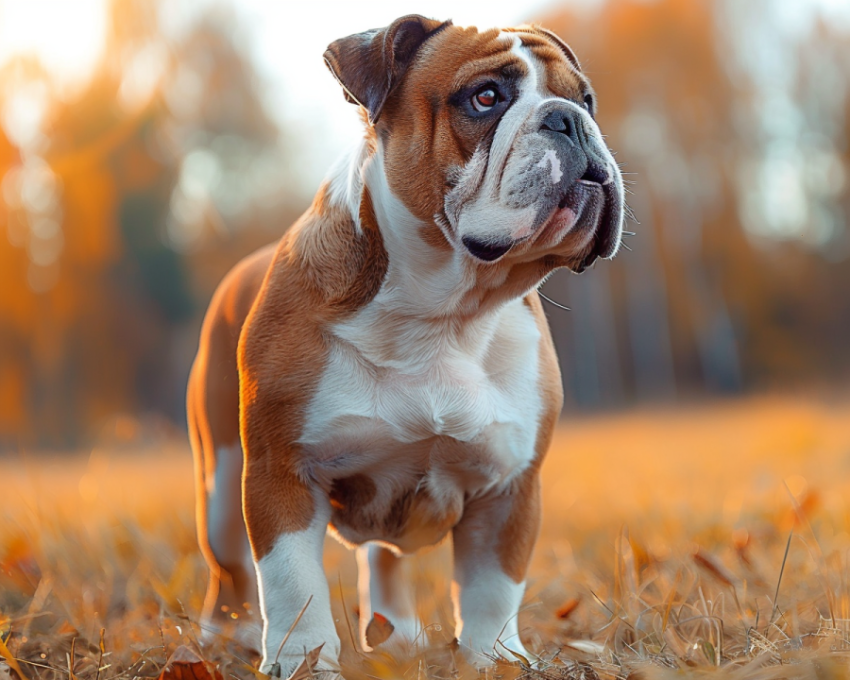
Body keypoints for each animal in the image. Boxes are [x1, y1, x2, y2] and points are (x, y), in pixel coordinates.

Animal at [187, 13, 624, 672]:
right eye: (485, 97)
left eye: (587, 100)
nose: (568, 119)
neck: (444, 314)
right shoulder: (280, 473)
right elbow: (291, 582)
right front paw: (304, 661)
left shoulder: (511, 487)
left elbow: (494, 586)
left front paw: (494, 659)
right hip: (220, 481)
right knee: (230, 568)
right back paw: (226, 636)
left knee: (383, 558)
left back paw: (398, 636)